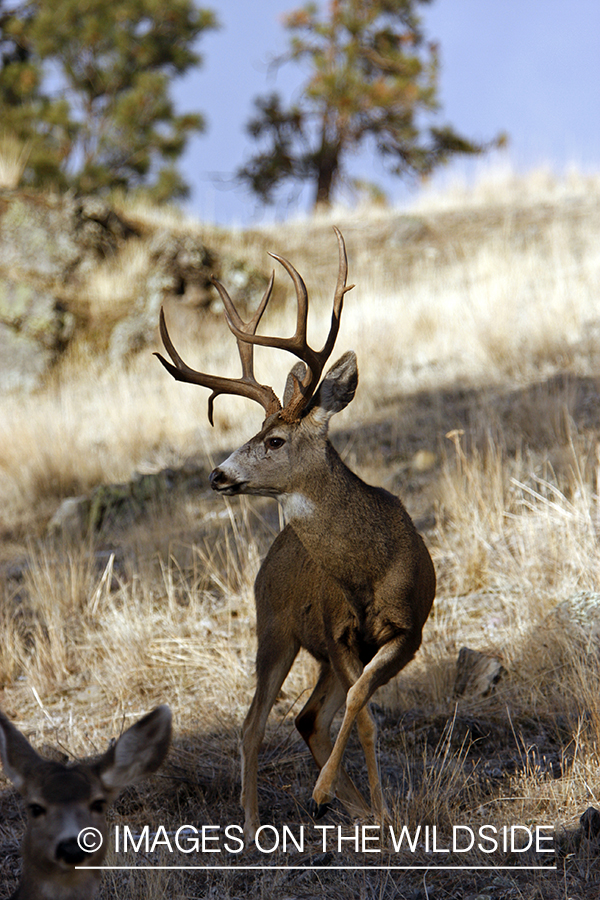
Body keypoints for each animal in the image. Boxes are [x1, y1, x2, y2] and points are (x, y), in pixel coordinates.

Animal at [155, 228, 435, 842]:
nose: (218, 475)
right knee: (253, 723)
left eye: (275, 439)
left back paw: (347, 806)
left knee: (308, 717)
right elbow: (364, 717)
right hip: (274, 628)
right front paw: (342, 800)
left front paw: (367, 809)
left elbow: (360, 706)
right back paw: (253, 820)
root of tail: (273, 554)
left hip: (308, 646)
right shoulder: (337, 632)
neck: (370, 569)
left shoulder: (408, 631)